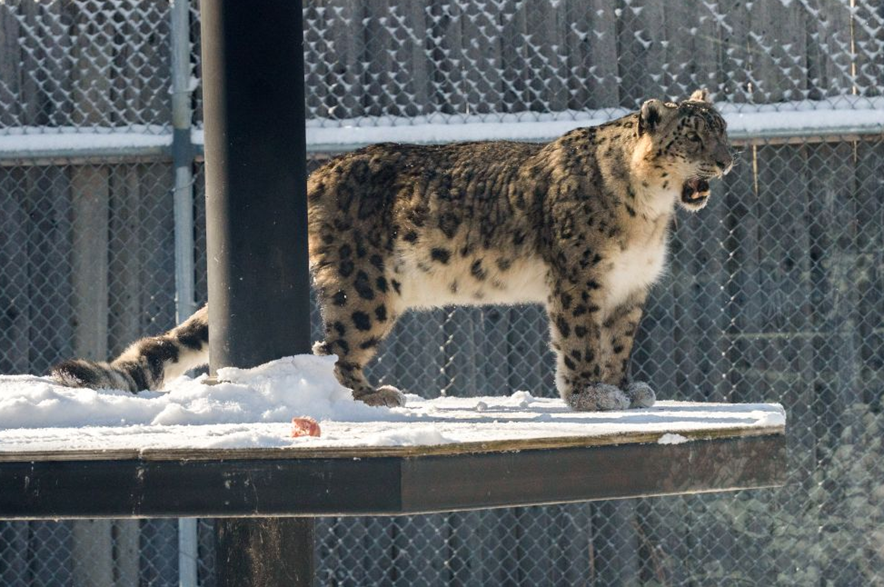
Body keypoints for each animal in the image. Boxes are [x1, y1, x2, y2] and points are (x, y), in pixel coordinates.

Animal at [52, 89, 733, 412]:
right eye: (694, 136)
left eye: (723, 130)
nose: (726, 163)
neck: (650, 216)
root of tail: (318, 174)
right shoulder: (580, 281)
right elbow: (582, 342)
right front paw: (593, 395)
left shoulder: (630, 289)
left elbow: (618, 344)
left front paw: (627, 388)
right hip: (368, 289)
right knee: (334, 349)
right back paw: (372, 393)